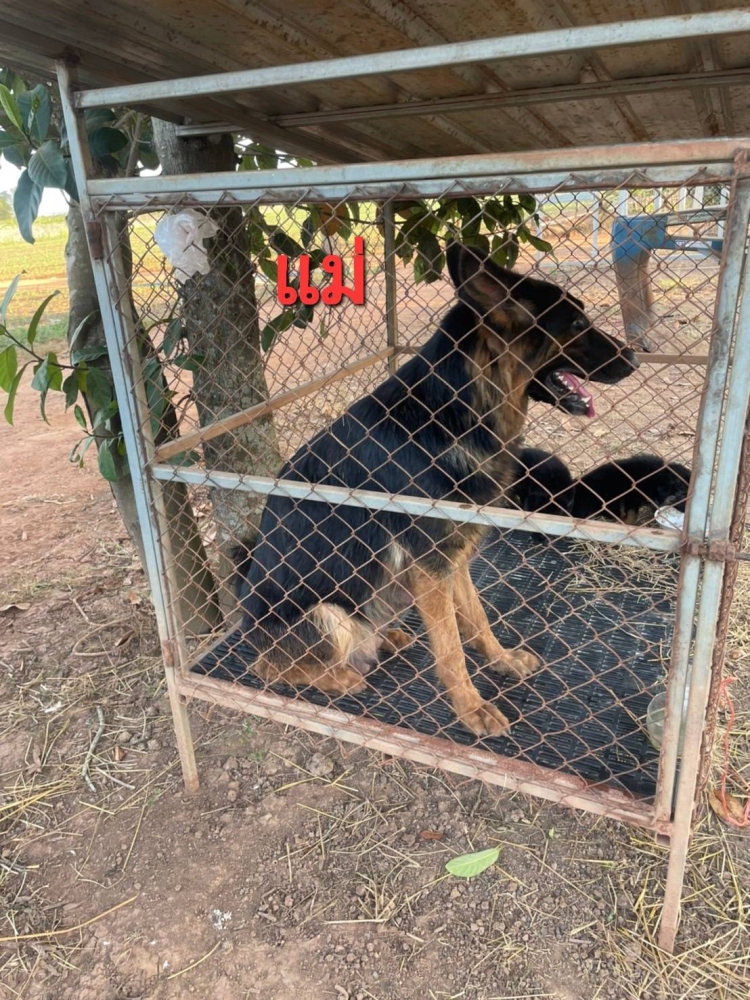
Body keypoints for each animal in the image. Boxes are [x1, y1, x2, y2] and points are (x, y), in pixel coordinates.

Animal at [237, 244, 638, 737]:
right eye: (578, 324)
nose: (636, 359)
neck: (453, 410)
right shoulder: (430, 568)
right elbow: (450, 650)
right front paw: (471, 708)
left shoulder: (455, 559)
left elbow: (477, 619)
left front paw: (502, 660)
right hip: (327, 614)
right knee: (267, 667)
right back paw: (341, 676)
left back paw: (384, 639)